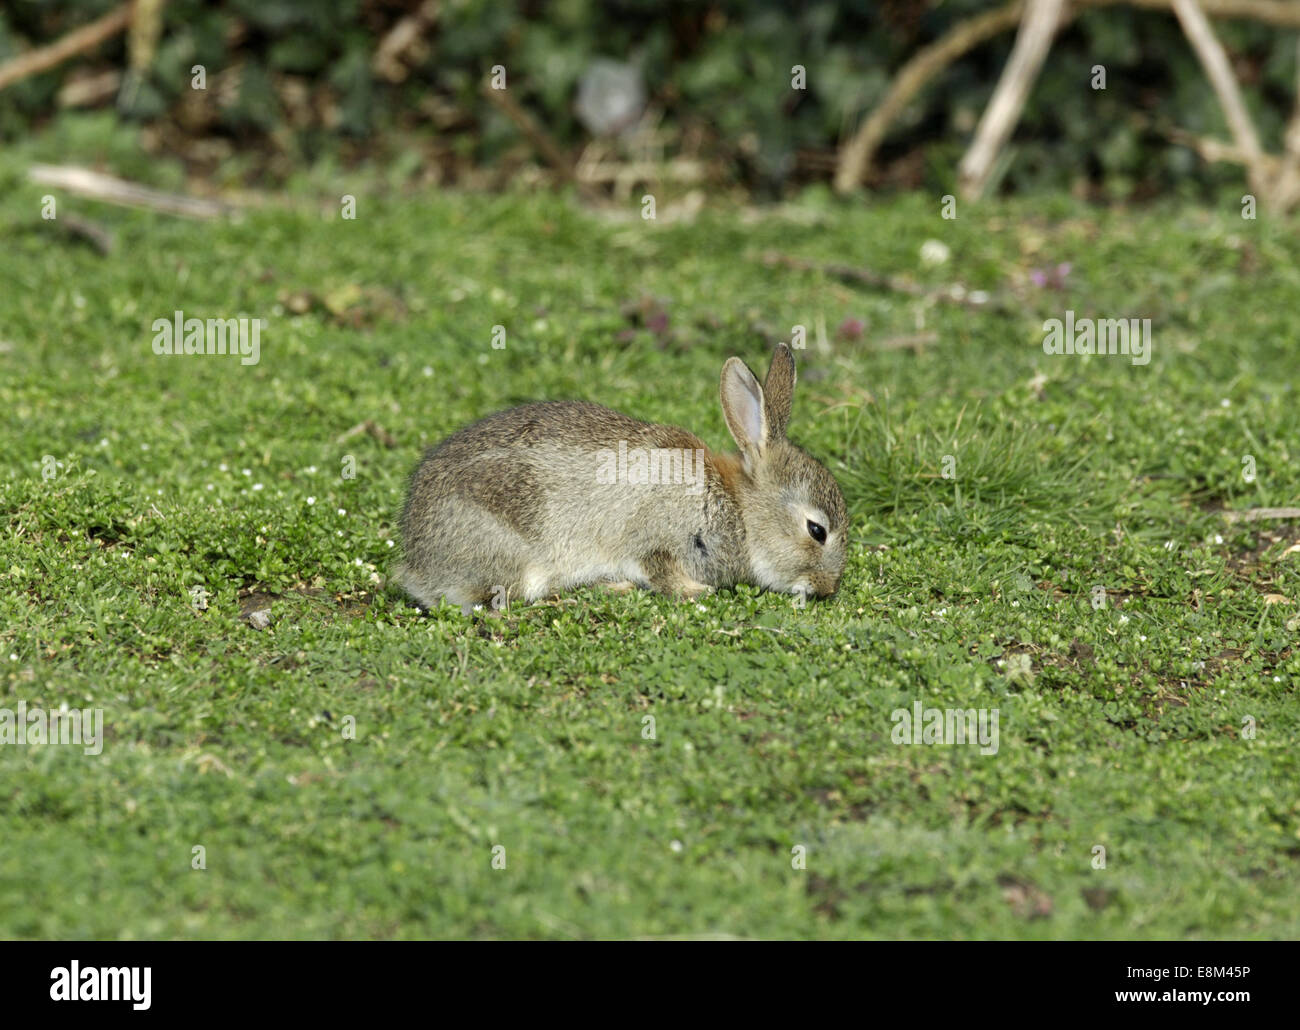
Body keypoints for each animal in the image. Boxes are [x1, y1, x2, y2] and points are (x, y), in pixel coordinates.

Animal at [395, 343, 847, 611]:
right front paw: (696, 592)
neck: (738, 508)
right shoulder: (658, 537)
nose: (827, 588)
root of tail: (418, 566)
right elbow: (660, 570)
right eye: (817, 531)